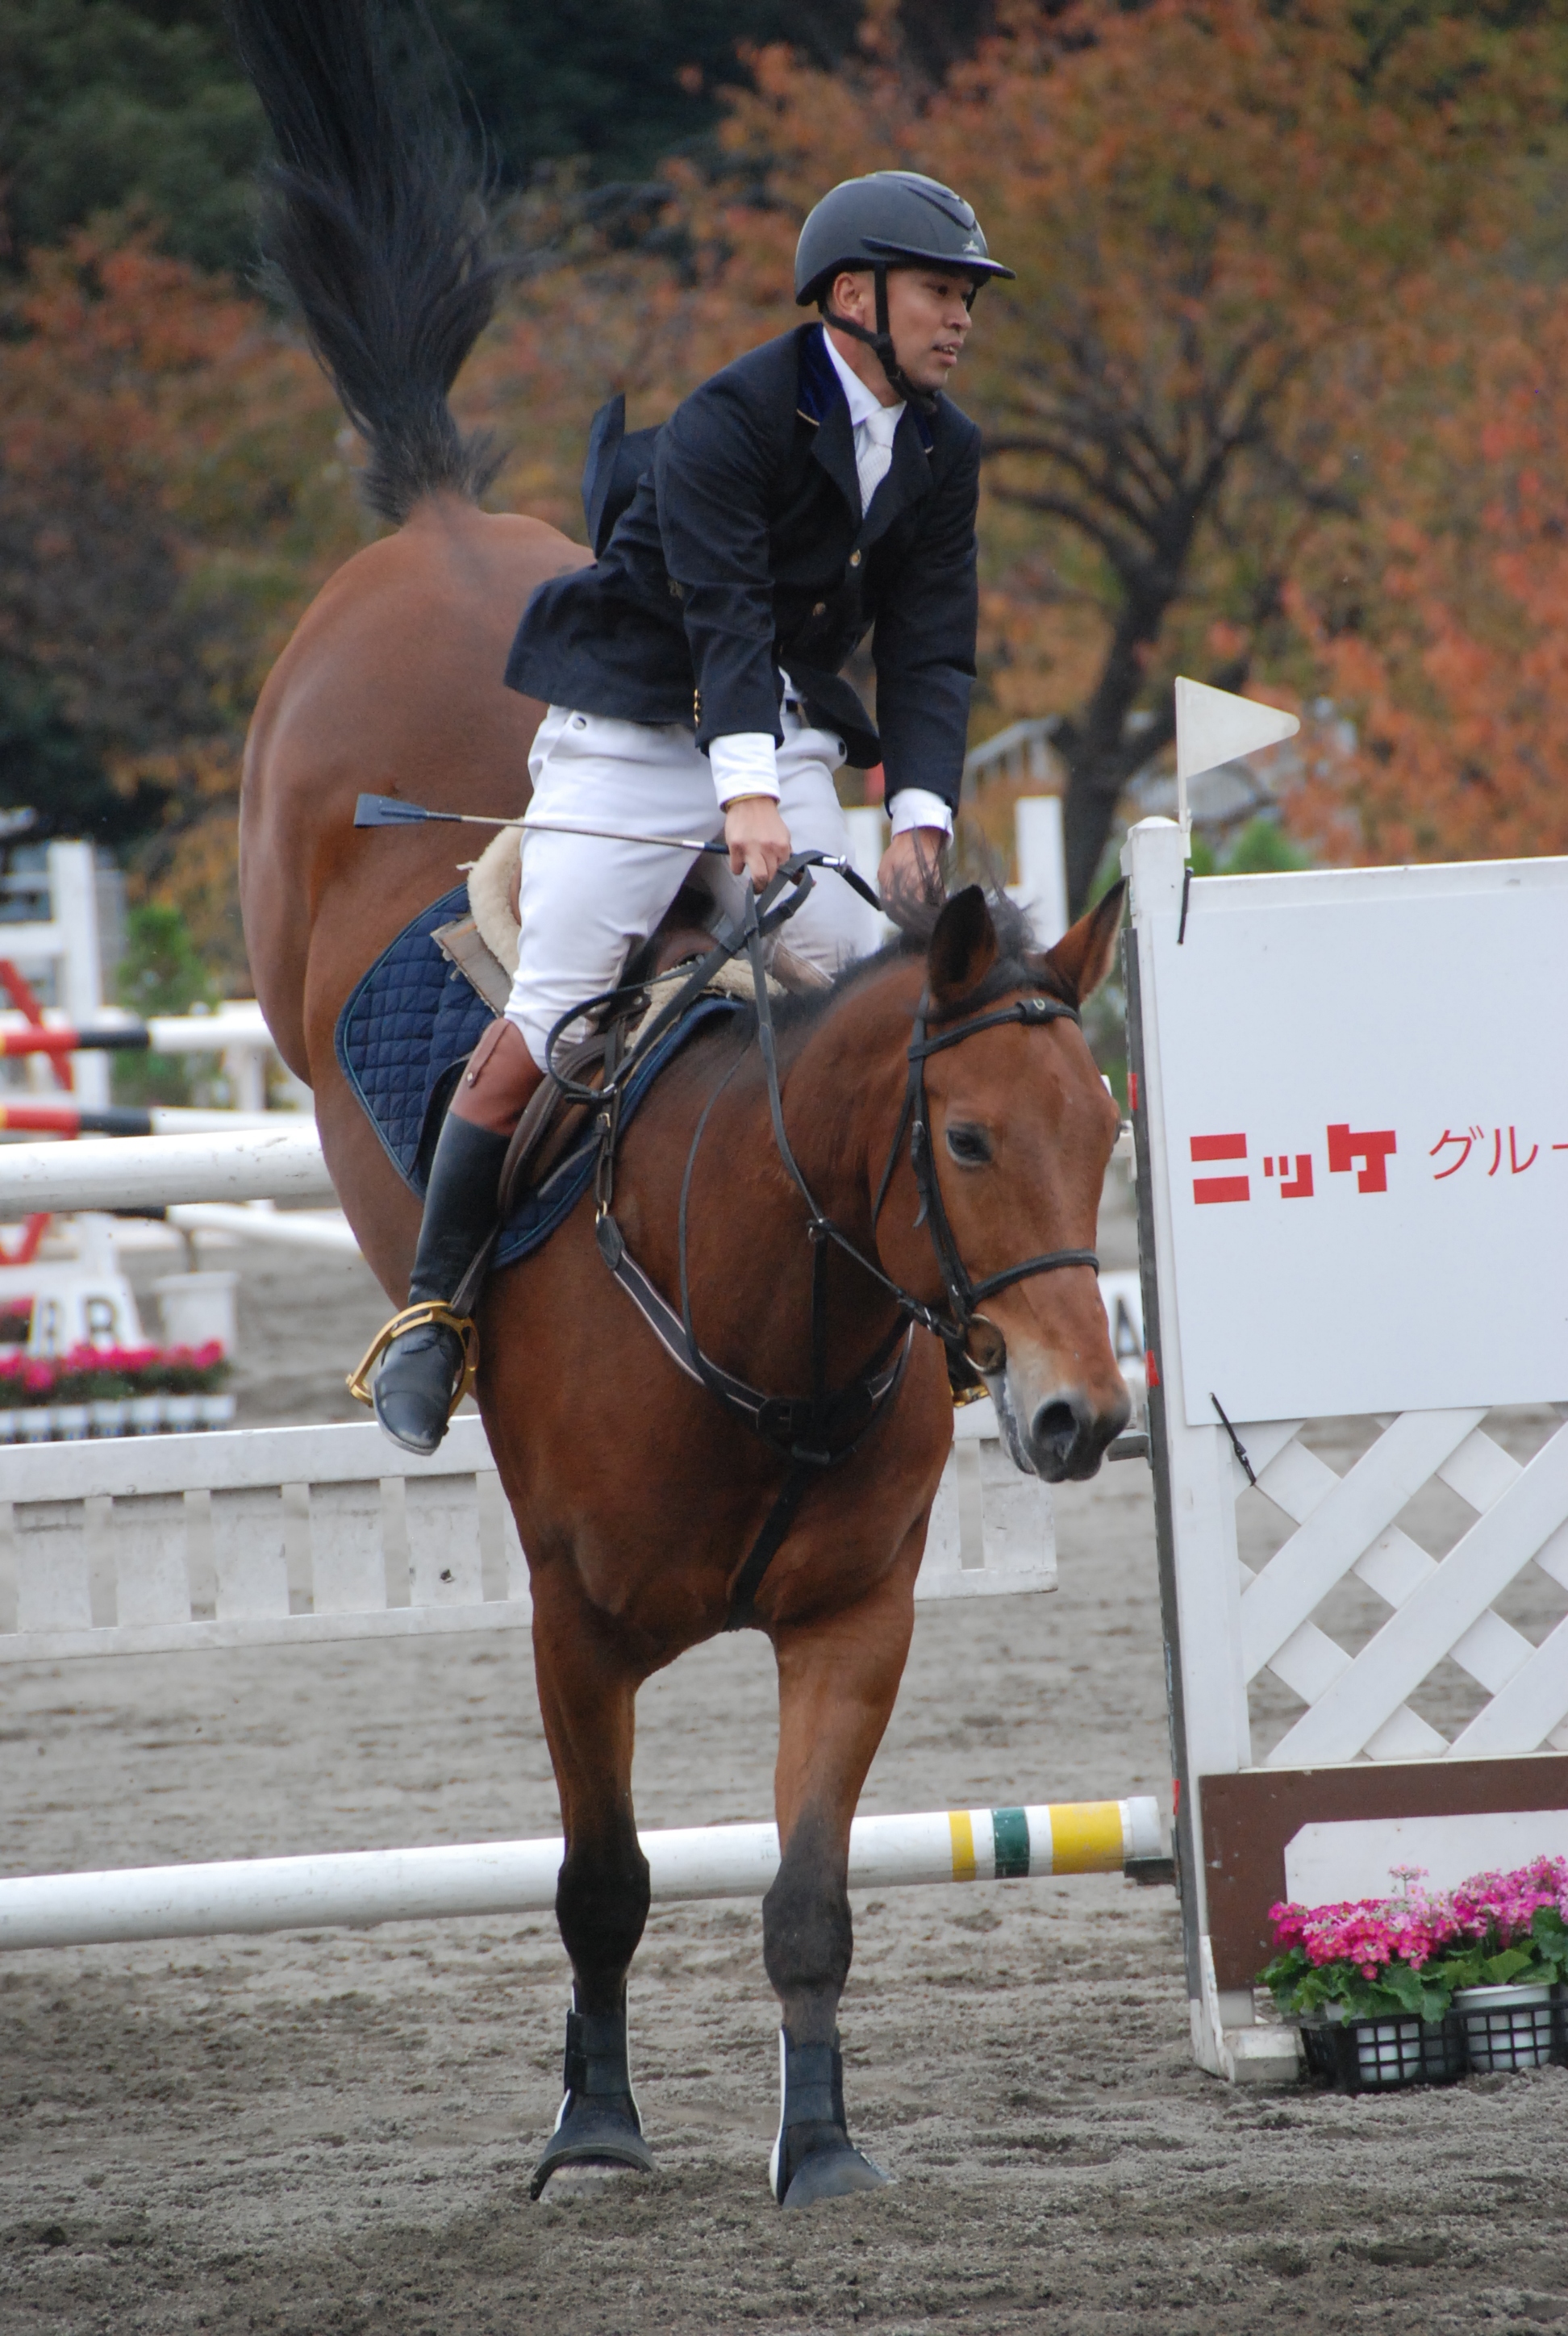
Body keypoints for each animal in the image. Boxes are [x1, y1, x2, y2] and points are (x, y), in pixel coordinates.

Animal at [230, 0, 1131, 2196]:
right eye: (963, 1140)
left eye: (1106, 1136)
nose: (1080, 1417)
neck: (770, 1308)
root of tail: (440, 517)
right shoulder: (576, 1622)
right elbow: (605, 1881)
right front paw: (596, 2130)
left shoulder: (855, 1624)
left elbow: (803, 1895)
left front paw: (821, 2146)